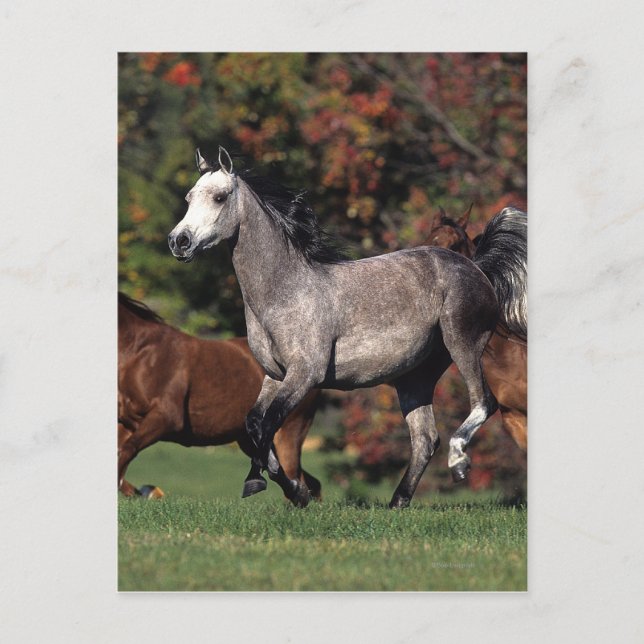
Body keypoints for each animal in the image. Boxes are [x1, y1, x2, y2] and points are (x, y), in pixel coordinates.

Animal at [118, 292, 321, 506]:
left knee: (295, 477)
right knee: (304, 481)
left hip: (289, 432)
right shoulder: (129, 422)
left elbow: (125, 452)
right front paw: (142, 492)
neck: (140, 354)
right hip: (252, 441)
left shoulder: (166, 418)